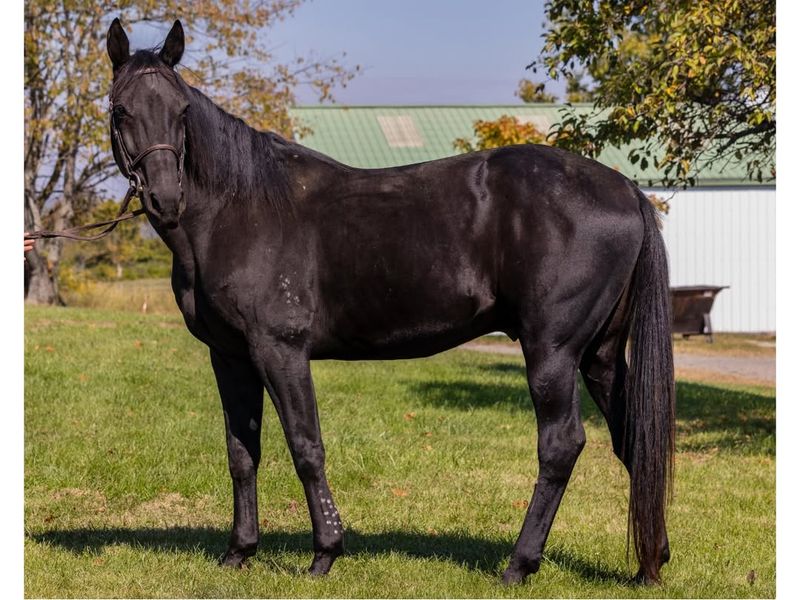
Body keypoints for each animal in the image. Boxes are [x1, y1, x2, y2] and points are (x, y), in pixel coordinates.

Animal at [104, 19, 676, 584]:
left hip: (552, 352)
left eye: (181, 111)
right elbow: (242, 452)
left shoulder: (279, 350)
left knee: (560, 445)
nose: (165, 198)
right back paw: (648, 565)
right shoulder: (230, 357)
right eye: (120, 109)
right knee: (633, 439)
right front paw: (239, 552)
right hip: (599, 355)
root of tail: (626, 189)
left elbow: (306, 447)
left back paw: (519, 564)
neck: (237, 210)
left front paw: (325, 553)